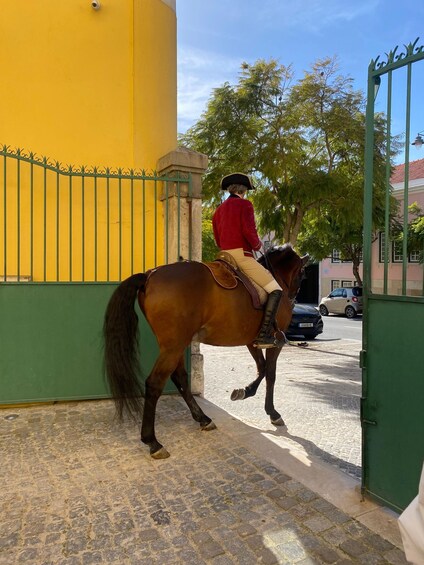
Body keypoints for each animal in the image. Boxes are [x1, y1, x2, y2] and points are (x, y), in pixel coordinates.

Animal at [102, 243, 308, 458]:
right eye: (302, 274)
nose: (293, 299)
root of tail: (150, 274)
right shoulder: (274, 343)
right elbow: (270, 373)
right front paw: (272, 412)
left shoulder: (253, 342)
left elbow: (261, 369)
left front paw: (243, 392)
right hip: (174, 346)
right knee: (154, 384)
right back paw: (153, 442)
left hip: (176, 345)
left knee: (180, 377)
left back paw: (202, 418)